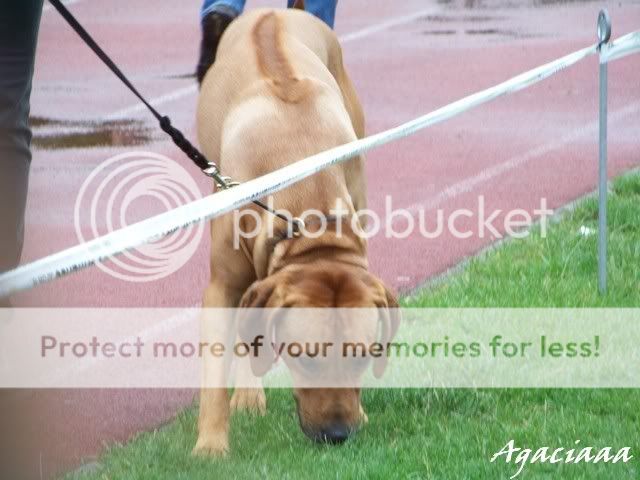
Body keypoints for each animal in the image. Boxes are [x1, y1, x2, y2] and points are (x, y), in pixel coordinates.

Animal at [194, 5, 399, 456]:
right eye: (304, 357)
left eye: (362, 356)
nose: (337, 435)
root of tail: (274, 10)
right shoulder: (222, 284)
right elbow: (215, 367)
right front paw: (211, 446)